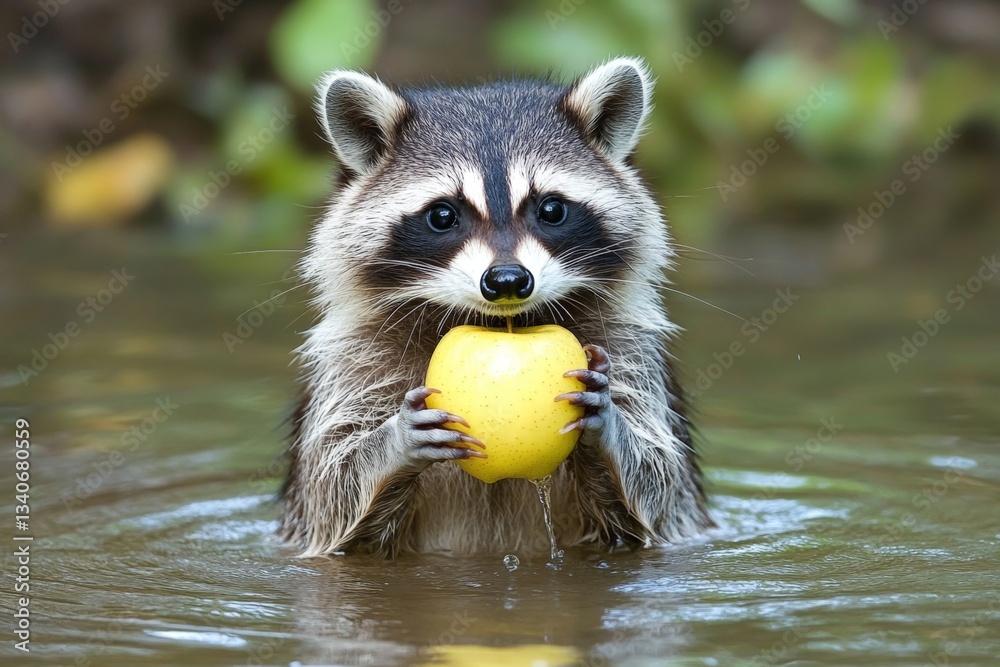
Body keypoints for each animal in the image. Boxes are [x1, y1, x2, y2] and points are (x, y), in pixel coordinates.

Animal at [280, 57, 713, 558]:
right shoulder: (353, 362)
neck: (499, 323)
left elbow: (658, 490)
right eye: (443, 215)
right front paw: (393, 443)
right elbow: (331, 495)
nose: (507, 281)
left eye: (551, 210)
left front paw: (608, 427)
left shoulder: (630, 351)